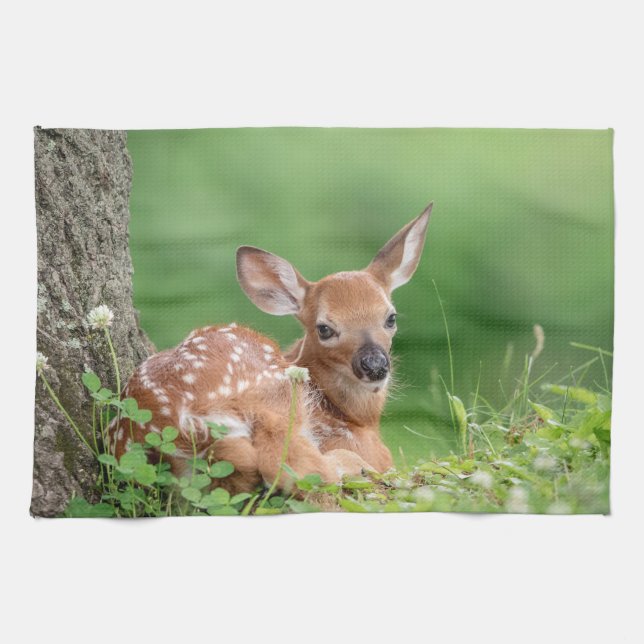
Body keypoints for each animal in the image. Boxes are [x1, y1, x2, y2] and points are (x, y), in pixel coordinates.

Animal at [109, 203, 432, 494]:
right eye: (324, 329)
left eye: (390, 317)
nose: (374, 365)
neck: (353, 417)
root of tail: (185, 423)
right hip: (274, 395)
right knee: (294, 467)